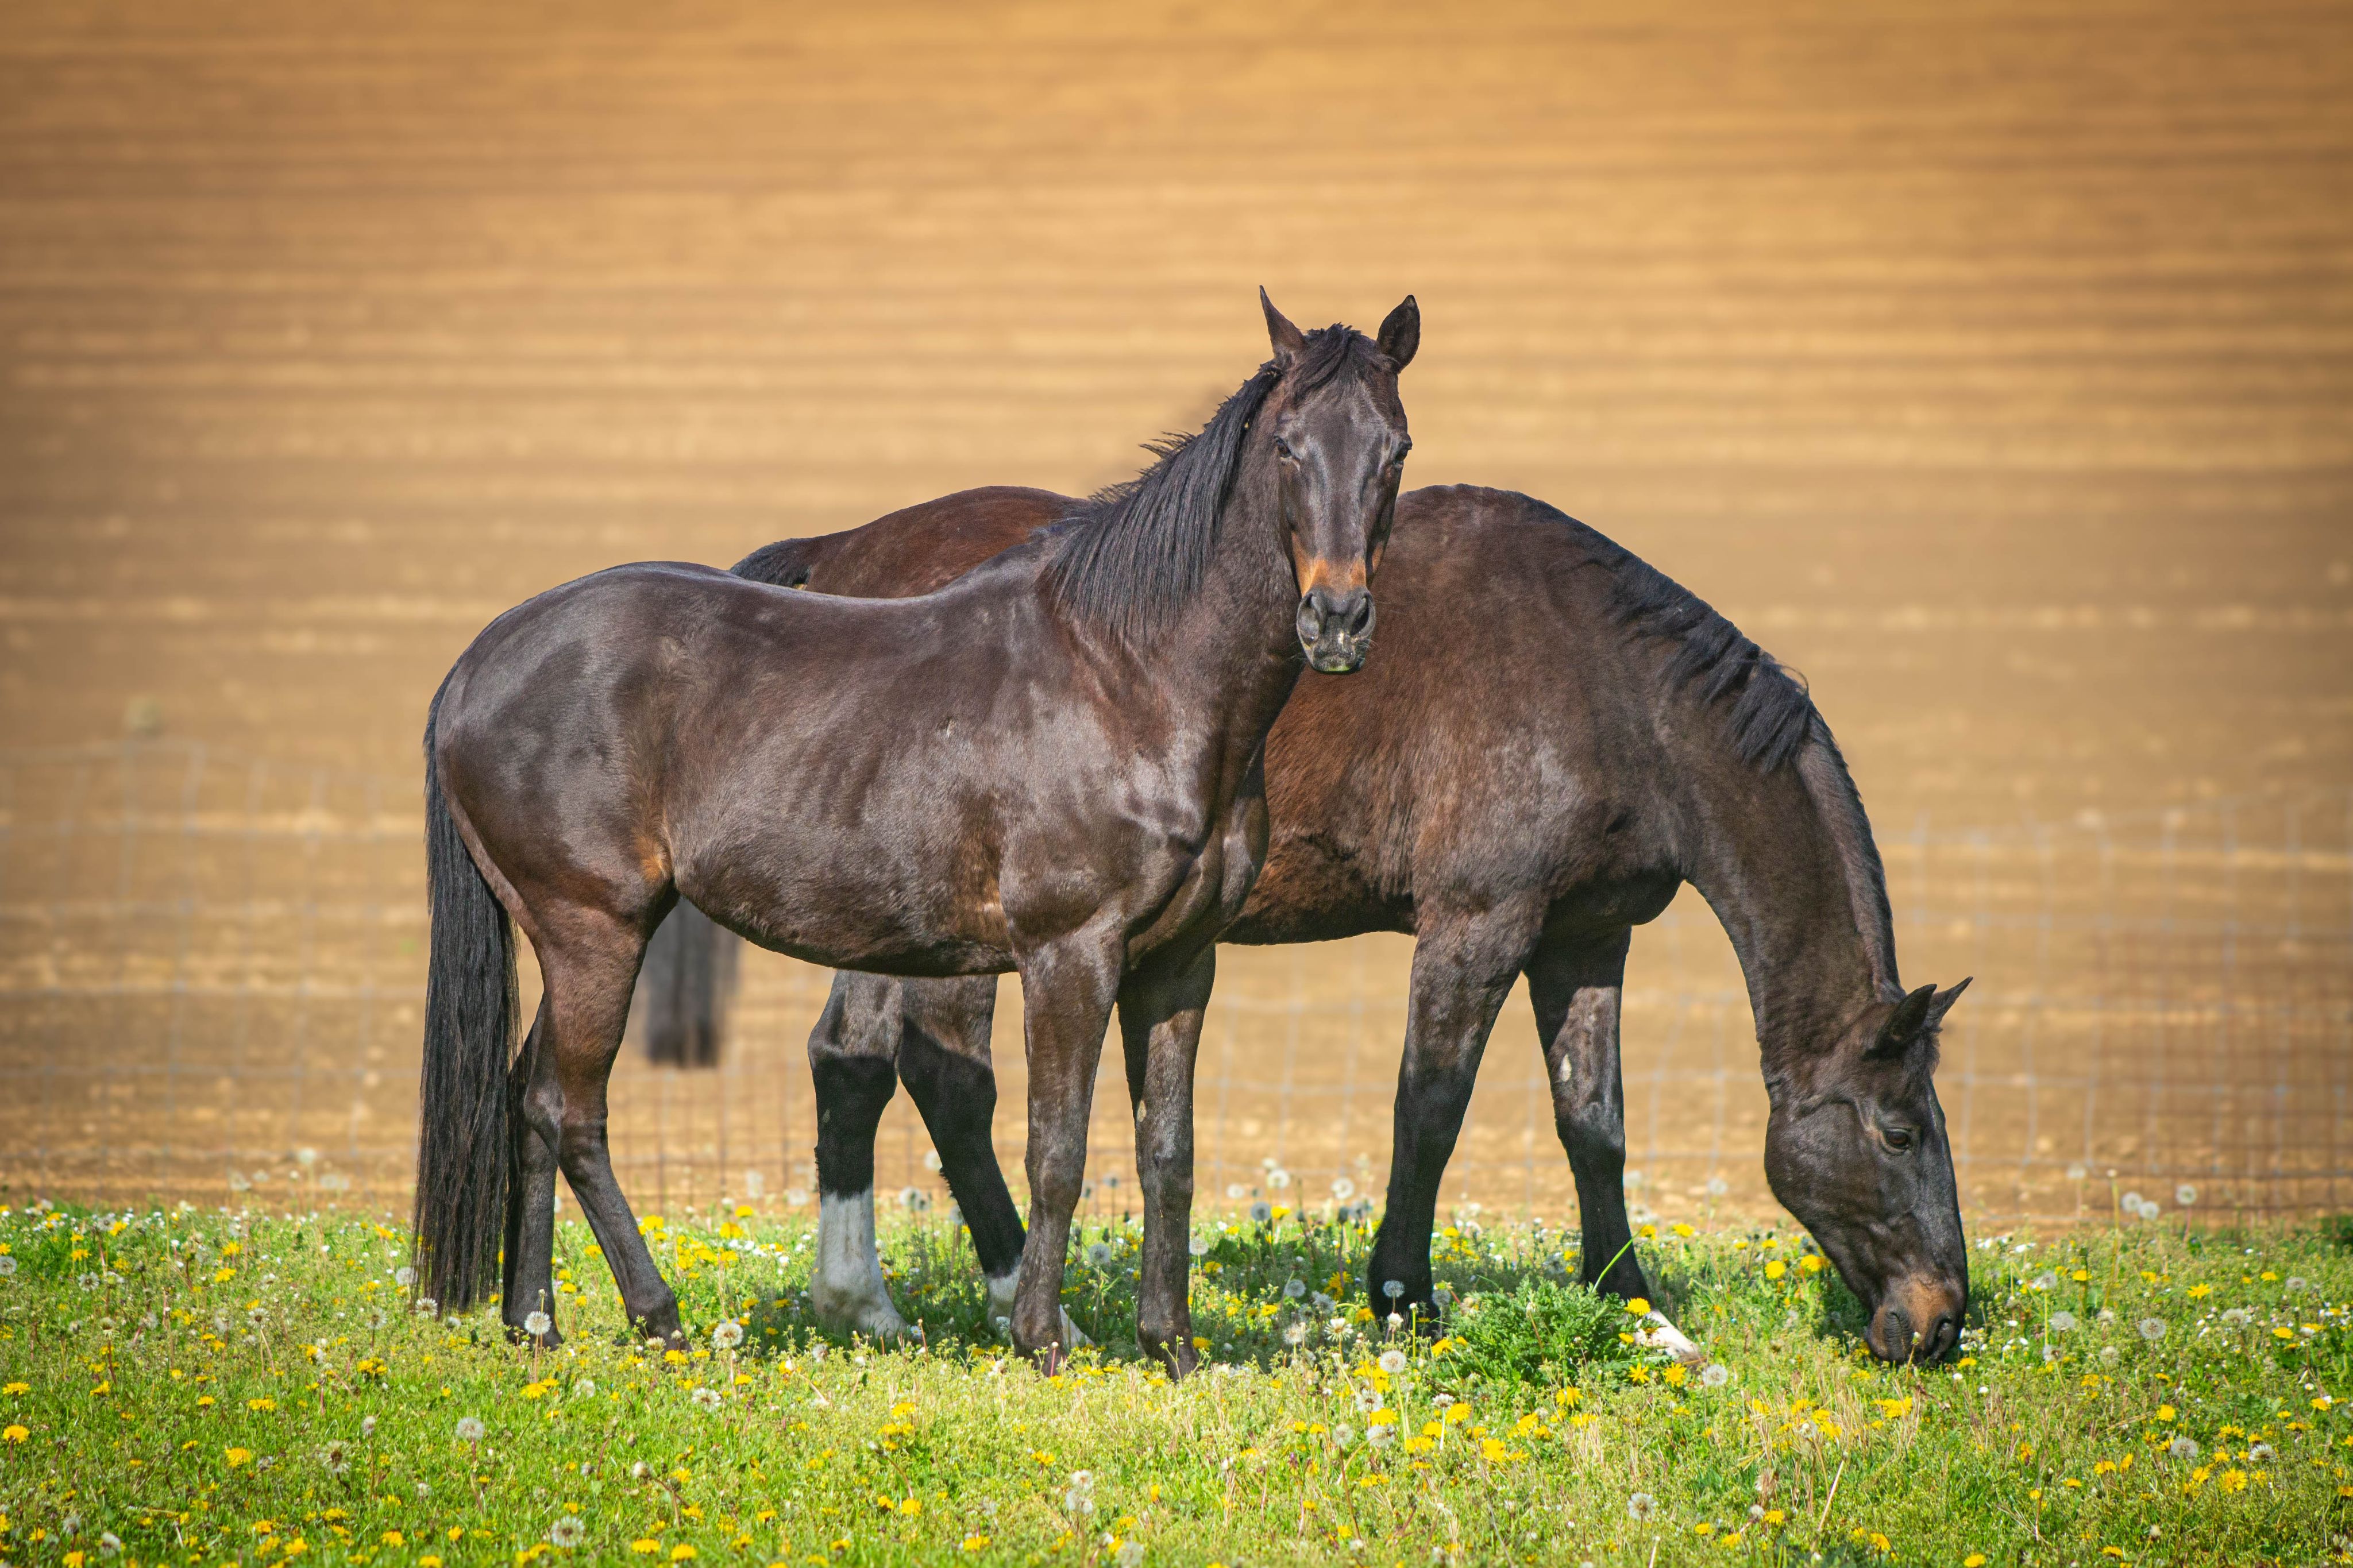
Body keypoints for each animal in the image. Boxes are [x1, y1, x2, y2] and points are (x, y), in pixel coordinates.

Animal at [410, 291, 1422, 1375]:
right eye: (1286, 446)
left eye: (1393, 448)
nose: (1336, 621)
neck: (1131, 678)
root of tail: (478, 663)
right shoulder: (1069, 953)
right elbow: (1057, 1148)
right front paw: (1043, 1340)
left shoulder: (1180, 963)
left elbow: (1169, 1152)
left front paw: (1174, 1348)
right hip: (594, 929)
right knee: (573, 1111)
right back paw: (659, 1317)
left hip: (568, 938)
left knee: (528, 1099)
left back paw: (535, 1325)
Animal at [659, 481, 1973, 1365]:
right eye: (1900, 1131)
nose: (1940, 1323)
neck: (1606, 686)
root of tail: (841, 552)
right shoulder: (1476, 923)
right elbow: (1429, 1110)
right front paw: (1404, 1301)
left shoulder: (1586, 938)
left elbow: (1590, 1125)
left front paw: (1633, 1308)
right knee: (932, 1073)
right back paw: (993, 1297)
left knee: (860, 1063)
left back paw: (884, 1301)